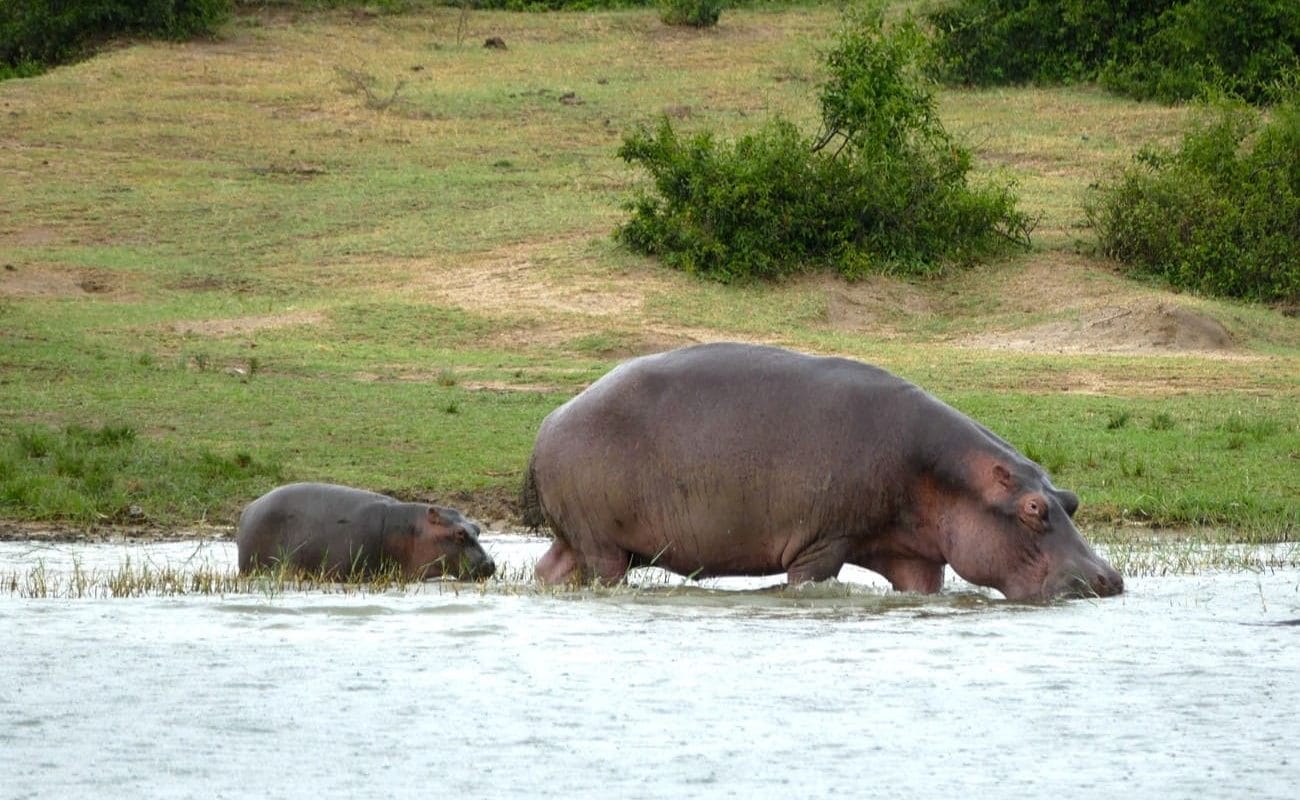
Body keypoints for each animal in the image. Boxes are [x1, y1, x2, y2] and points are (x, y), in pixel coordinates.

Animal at [520, 342, 1122, 601]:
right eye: (1033, 509)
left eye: (1071, 500)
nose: (1110, 578)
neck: (947, 475)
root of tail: (552, 417)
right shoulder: (822, 543)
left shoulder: (915, 557)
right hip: (603, 547)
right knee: (602, 572)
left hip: (576, 540)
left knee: (549, 568)